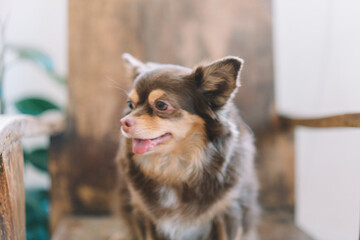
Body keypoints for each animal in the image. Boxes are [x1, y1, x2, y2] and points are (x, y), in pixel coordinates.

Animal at [115, 54, 258, 240]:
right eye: (130, 105)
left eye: (161, 105)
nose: (123, 122)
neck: (175, 169)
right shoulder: (143, 214)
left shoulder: (230, 212)